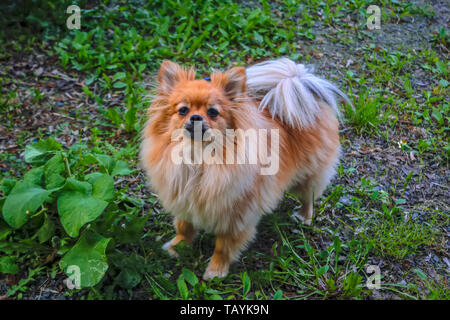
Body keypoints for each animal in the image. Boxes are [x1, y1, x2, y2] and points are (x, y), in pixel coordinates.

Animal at [141, 57, 348, 280]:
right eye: (183, 110)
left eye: (213, 112)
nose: (196, 117)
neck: (198, 159)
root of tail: (300, 86)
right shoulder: (184, 200)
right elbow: (184, 227)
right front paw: (176, 247)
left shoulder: (236, 216)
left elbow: (223, 246)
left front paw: (216, 270)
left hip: (308, 174)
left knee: (309, 196)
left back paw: (304, 216)